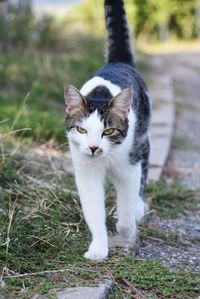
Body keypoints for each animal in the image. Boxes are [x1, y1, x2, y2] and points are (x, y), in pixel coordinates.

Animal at [65, 0, 151, 262]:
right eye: (81, 130)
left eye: (109, 131)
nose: (94, 147)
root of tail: (118, 61)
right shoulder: (86, 171)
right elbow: (93, 209)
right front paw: (98, 248)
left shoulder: (129, 167)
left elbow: (127, 199)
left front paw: (126, 228)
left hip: (142, 138)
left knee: (145, 167)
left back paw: (138, 207)